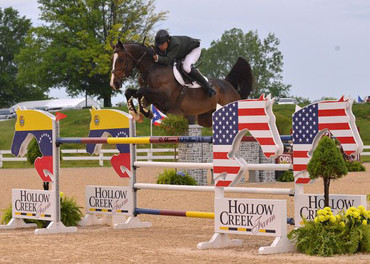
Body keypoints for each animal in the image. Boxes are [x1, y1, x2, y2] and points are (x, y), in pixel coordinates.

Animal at [110, 39, 253, 127]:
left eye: (121, 59)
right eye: (112, 59)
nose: (113, 84)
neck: (153, 68)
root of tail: (229, 85)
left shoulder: (165, 97)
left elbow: (141, 91)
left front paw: (144, 112)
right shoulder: (153, 97)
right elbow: (131, 91)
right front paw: (136, 113)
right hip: (206, 118)